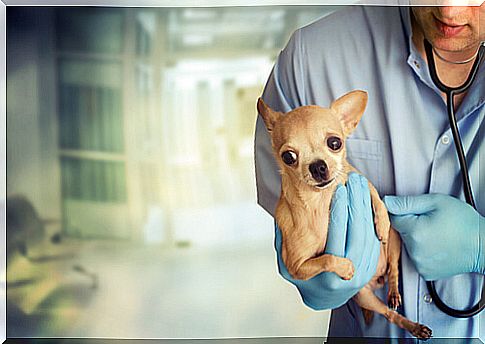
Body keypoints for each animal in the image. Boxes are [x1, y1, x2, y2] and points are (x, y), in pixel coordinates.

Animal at [258, 90, 432, 340]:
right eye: (288, 157)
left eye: (334, 143)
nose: (318, 166)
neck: (320, 201)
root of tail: (376, 281)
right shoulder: (296, 268)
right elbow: (326, 259)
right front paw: (345, 267)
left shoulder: (356, 177)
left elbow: (375, 195)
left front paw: (381, 222)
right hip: (363, 296)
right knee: (389, 314)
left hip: (395, 242)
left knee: (394, 268)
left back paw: (394, 294)